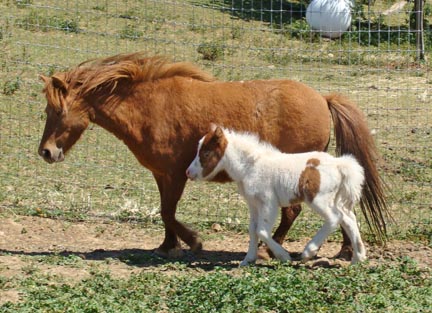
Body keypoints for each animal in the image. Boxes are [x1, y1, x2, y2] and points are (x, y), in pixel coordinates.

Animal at [37, 52, 388, 258]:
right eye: (47, 110)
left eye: (57, 111)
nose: (46, 152)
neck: (150, 107)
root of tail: (323, 98)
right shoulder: (162, 174)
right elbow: (165, 212)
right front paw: (167, 246)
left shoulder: (176, 174)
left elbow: (168, 212)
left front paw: (193, 242)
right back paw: (344, 250)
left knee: (295, 213)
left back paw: (272, 249)